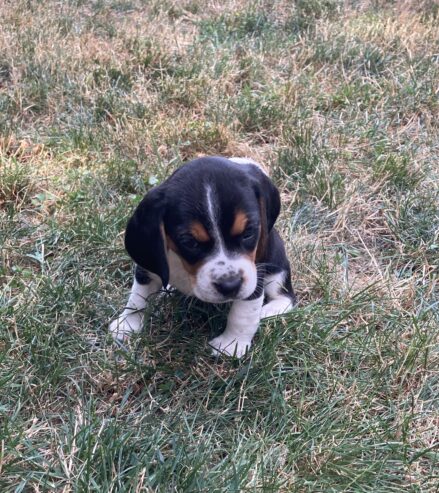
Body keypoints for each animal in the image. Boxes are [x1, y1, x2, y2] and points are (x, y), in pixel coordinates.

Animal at [109, 156, 296, 356]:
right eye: (190, 242)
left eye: (248, 233)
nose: (230, 285)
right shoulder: (148, 266)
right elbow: (138, 298)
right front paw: (127, 325)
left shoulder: (255, 273)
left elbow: (243, 314)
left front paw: (231, 345)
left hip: (277, 265)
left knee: (286, 296)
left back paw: (268, 311)